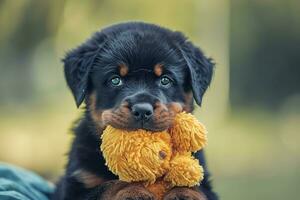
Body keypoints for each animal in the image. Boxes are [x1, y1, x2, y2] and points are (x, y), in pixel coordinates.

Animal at [52, 21, 218, 200]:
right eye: (115, 80)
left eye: (165, 80)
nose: (142, 110)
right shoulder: (76, 187)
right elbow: (112, 183)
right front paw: (134, 190)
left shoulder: (207, 187)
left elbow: (195, 186)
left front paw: (185, 193)